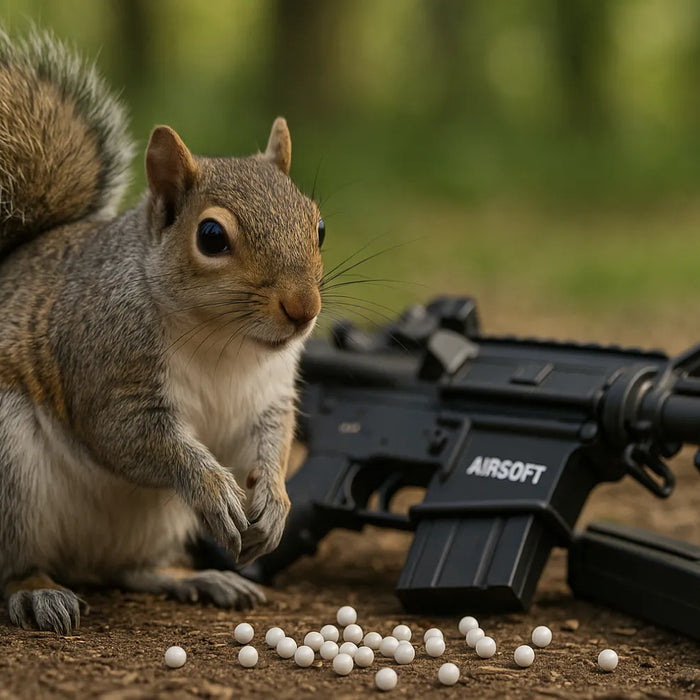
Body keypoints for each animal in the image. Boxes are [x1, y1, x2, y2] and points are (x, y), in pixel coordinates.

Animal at [0, 30, 324, 634]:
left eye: (318, 225)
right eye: (212, 236)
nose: (303, 308)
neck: (226, 345)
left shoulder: (267, 393)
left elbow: (273, 437)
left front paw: (274, 500)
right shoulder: (106, 364)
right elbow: (135, 437)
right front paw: (213, 486)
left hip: (157, 522)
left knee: (124, 569)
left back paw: (195, 577)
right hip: (10, 470)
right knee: (18, 562)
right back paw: (35, 590)